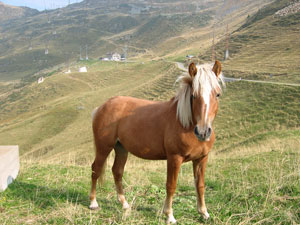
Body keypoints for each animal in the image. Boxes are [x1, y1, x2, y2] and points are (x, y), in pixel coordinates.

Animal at [90, 60, 224, 223]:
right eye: (193, 96)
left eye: (217, 94)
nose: (203, 132)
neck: (184, 122)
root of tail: (102, 106)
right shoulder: (174, 158)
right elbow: (171, 186)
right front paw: (169, 216)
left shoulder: (201, 158)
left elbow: (200, 185)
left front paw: (204, 213)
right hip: (104, 147)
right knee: (96, 169)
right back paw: (93, 203)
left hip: (121, 149)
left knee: (117, 171)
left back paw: (124, 204)